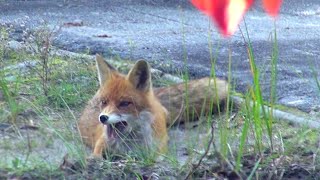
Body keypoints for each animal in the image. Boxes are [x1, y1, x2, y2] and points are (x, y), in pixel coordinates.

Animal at [78, 54, 229, 158]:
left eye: (124, 103)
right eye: (103, 102)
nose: (103, 118)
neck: (130, 147)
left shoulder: (157, 152)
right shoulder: (100, 145)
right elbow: (96, 156)